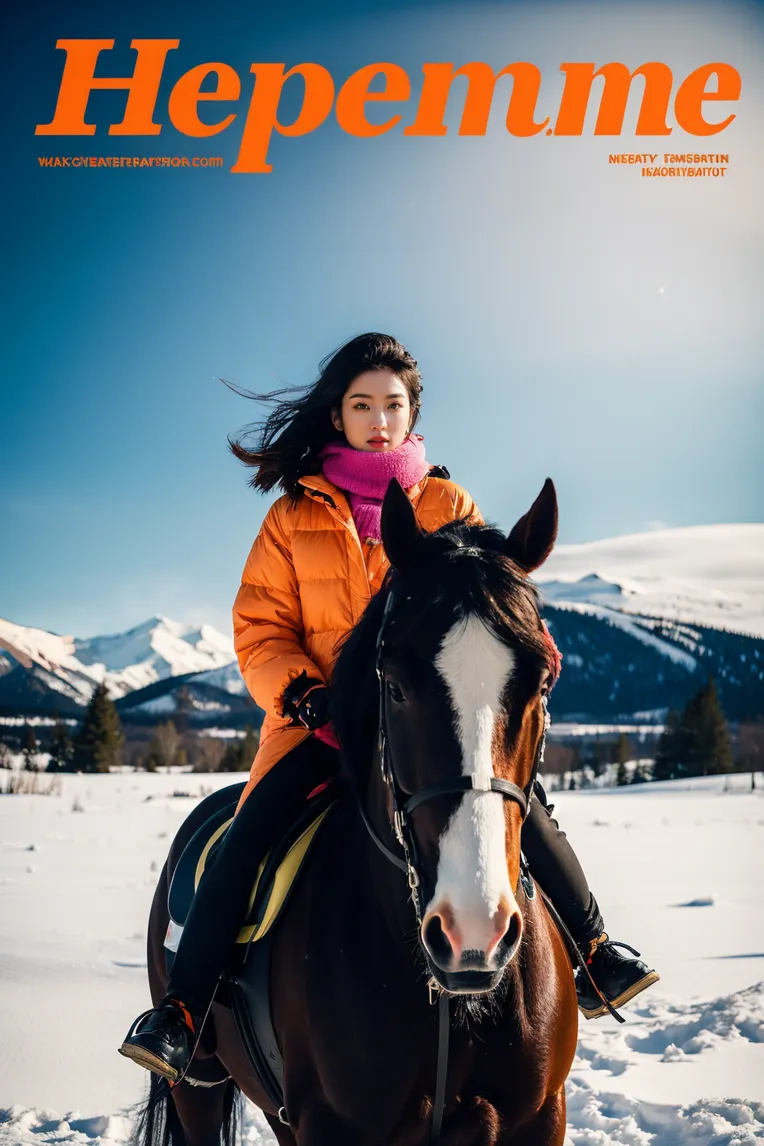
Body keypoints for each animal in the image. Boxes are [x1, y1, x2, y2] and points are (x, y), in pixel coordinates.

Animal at [135, 479, 579, 1146]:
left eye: (543, 683)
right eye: (393, 686)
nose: (474, 933)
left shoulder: (539, 1117)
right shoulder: (331, 1123)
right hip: (201, 1086)